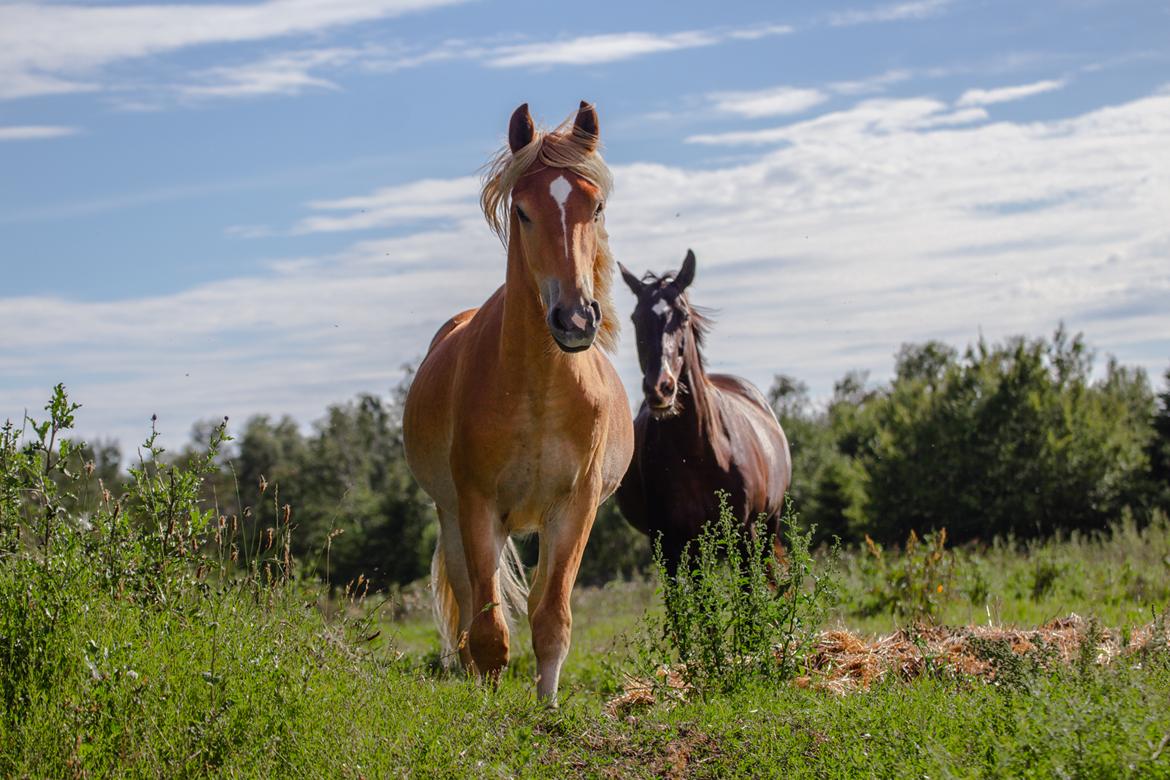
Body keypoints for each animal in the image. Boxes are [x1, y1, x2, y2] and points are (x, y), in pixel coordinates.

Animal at [407, 100, 636, 706]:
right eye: (524, 212)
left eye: (595, 206)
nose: (576, 319)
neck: (539, 391)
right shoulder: (478, 505)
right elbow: (488, 630)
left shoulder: (575, 509)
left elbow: (551, 618)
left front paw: (548, 708)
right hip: (452, 517)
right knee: (469, 610)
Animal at [617, 250, 790, 573]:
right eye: (636, 318)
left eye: (682, 316)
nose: (660, 388)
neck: (699, 451)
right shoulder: (669, 544)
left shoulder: (745, 534)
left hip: (769, 524)